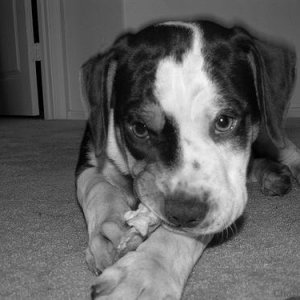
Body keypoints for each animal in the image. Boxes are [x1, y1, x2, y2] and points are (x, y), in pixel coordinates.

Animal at [75, 19, 298, 298]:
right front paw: (107, 232)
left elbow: (180, 235)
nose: (182, 213)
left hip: (270, 126)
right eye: (139, 128)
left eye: (224, 121)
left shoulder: (220, 201)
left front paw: (145, 272)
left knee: (284, 145)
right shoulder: (90, 155)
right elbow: (97, 187)